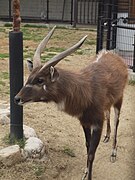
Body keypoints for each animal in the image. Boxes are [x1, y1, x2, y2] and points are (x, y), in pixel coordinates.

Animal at [14, 26, 127, 179]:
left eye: (40, 80)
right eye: (29, 77)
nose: (17, 98)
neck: (87, 89)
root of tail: (115, 56)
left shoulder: (97, 123)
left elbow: (91, 153)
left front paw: (88, 175)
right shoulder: (84, 121)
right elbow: (87, 145)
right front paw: (85, 172)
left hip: (119, 100)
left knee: (116, 122)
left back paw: (113, 153)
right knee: (108, 113)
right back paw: (107, 137)